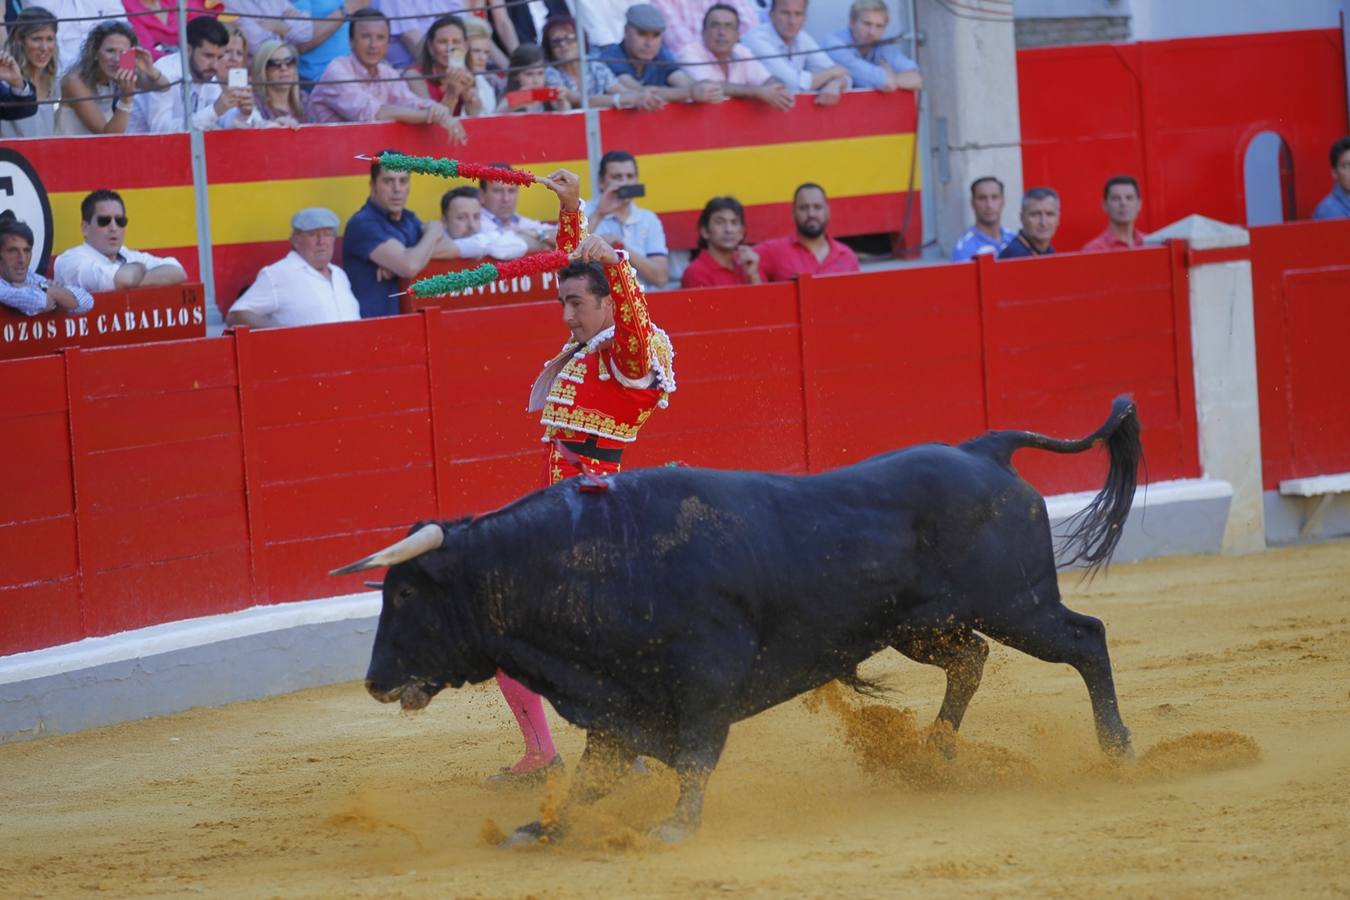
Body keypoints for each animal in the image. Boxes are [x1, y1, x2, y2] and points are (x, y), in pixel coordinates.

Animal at [334, 396, 1139, 847]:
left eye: (406, 597)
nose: (375, 681)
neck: (592, 560)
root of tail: (983, 451)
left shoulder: (701, 682)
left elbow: (693, 758)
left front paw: (676, 827)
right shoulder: (617, 703)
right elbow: (592, 779)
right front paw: (543, 827)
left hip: (1018, 606)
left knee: (1085, 640)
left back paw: (1117, 750)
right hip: (924, 628)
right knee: (970, 660)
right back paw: (933, 754)